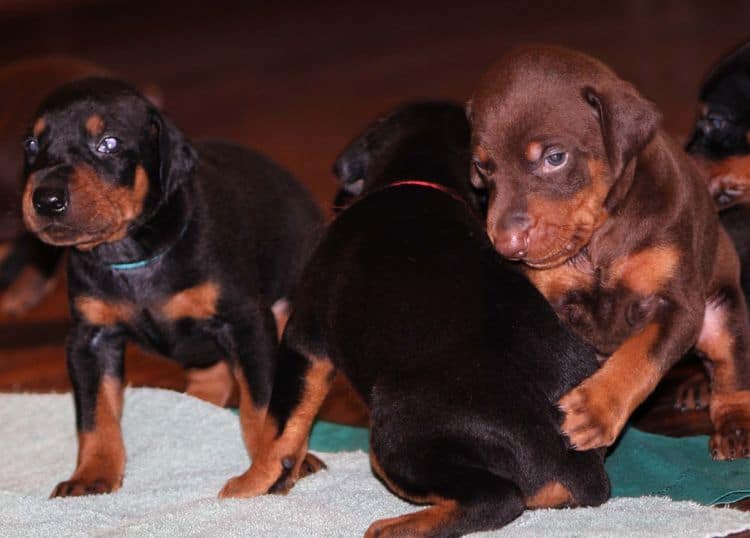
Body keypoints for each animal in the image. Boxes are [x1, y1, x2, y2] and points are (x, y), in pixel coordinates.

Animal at [20, 77, 324, 496]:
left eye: (109, 143)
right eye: (31, 147)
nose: (46, 199)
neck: (132, 253)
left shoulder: (246, 321)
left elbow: (262, 403)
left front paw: (271, 467)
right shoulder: (89, 337)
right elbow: (95, 414)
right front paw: (92, 475)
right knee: (210, 375)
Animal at [223, 101, 612, 536]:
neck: (419, 177)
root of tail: (576, 468)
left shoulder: (306, 339)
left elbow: (281, 427)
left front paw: (250, 484)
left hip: (394, 423)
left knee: (499, 498)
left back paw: (395, 527)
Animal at [470, 44, 750, 458]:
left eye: (555, 158)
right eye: (482, 167)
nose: (506, 244)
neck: (599, 240)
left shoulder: (680, 306)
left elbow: (640, 354)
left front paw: (595, 410)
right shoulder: (554, 302)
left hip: (723, 309)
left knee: (730, 369)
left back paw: (733, 425)